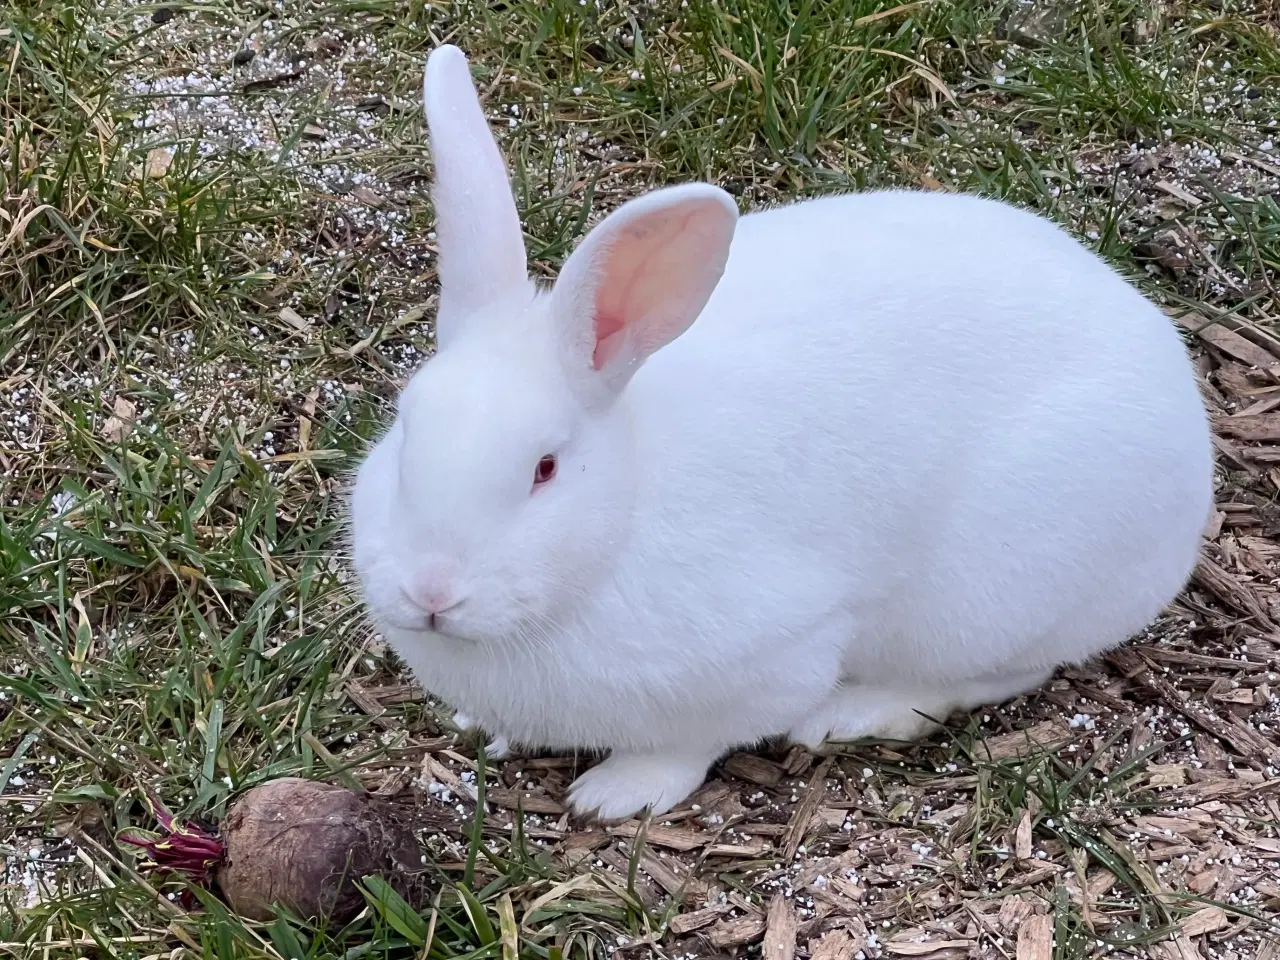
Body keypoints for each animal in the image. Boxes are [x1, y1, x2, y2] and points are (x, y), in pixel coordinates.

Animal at [350, 45, 1208, 824]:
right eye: (405, 431)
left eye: (545, 468)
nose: (431, 593)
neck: (625, 508)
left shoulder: (776, 652)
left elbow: (694, 743)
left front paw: (616, 794)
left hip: (992, 595)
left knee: (994, 676)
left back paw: (851, 715)